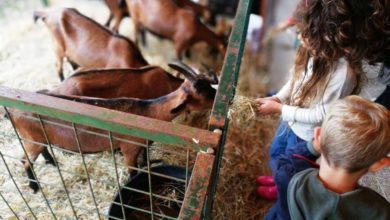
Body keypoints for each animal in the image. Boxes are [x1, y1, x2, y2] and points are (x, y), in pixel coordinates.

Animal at [9, 62, 216, 192]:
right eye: (204, 93)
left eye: (208, 85)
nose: (219, 100)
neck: (148, 111)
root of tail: (11, 110)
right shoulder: (129, 149)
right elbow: (132, 172)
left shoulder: (141, 145)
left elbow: (145, 159)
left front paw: (150, 163)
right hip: (32, 140)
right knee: (24, 160)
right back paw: (34, 187)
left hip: (39, 139)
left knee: (41, 152)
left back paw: (52, 162)